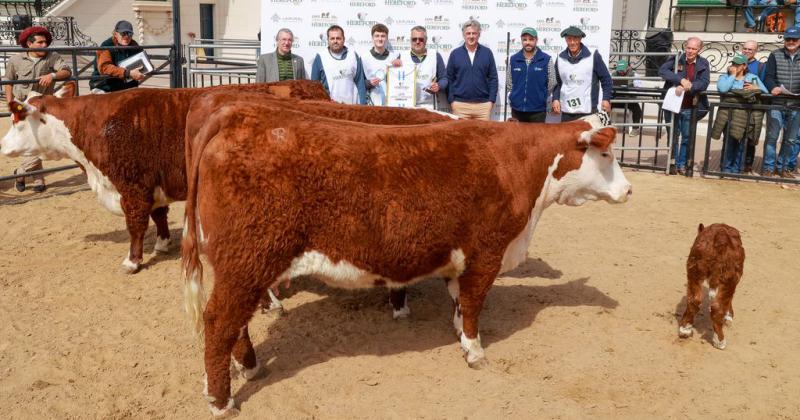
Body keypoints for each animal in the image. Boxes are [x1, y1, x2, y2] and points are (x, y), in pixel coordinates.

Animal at [0, 82, 450, 278]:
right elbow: (159, 217)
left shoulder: (132, 187)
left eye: (18, 119)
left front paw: (133, 260)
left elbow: (135, 225)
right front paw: (163, 243)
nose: (3, 147)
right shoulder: (152, 186)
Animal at [181, 105, 632, 416]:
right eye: (607, 156)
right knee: (220, 322)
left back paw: (250, 367)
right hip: (248, 261)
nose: (629, 190)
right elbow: (474, 304)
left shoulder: (459, 257)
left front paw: (458, 333)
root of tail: (240, 114)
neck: (518, 165)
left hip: (239, 267)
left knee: (234, 324)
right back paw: (221, 401)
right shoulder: (486, 253)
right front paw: (475, 351)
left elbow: (458, 300)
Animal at [680, 221, 748, 350]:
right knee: (717, 307)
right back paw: (720, 341)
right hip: (729, 278)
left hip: (694, 269)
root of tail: (719, 236)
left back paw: (684, 330)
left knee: (694, 300)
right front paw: (728, 316)